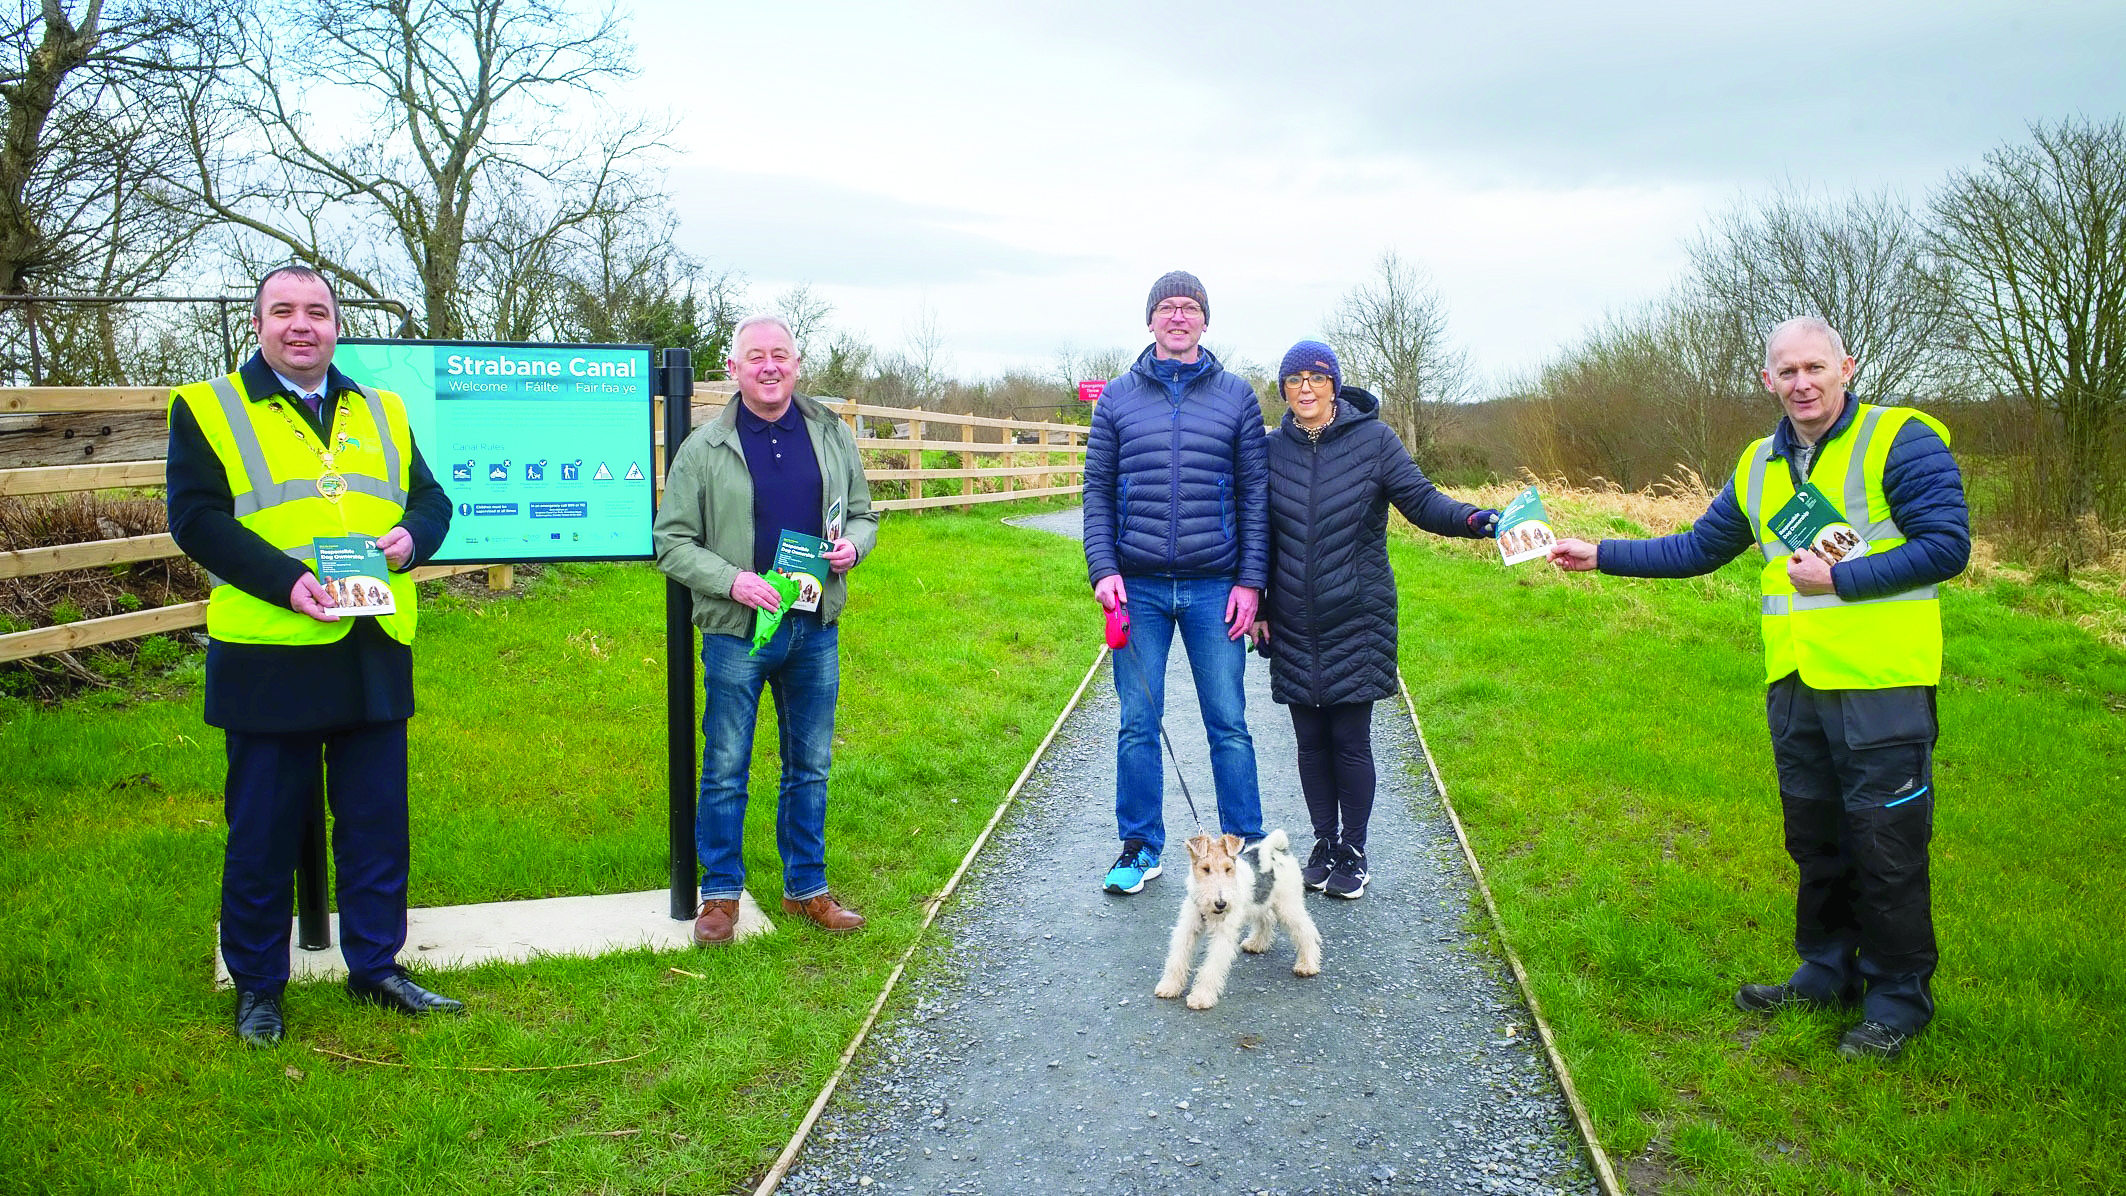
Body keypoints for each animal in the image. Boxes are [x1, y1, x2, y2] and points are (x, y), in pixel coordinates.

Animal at [1156, 832, 1318, 1011]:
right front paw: (1169, 986)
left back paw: (1307, 965)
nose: (1221, 904)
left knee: (1306, 931)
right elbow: (1176, 958)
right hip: (1261, 901)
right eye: (1206, 869)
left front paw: (1201, 997)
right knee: (1267, 919)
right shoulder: (1188, 928)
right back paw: (1256, 944)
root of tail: (1280, 849)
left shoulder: (1222, 935)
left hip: (1288, 905)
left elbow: (1211, 968)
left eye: (1228, 869)